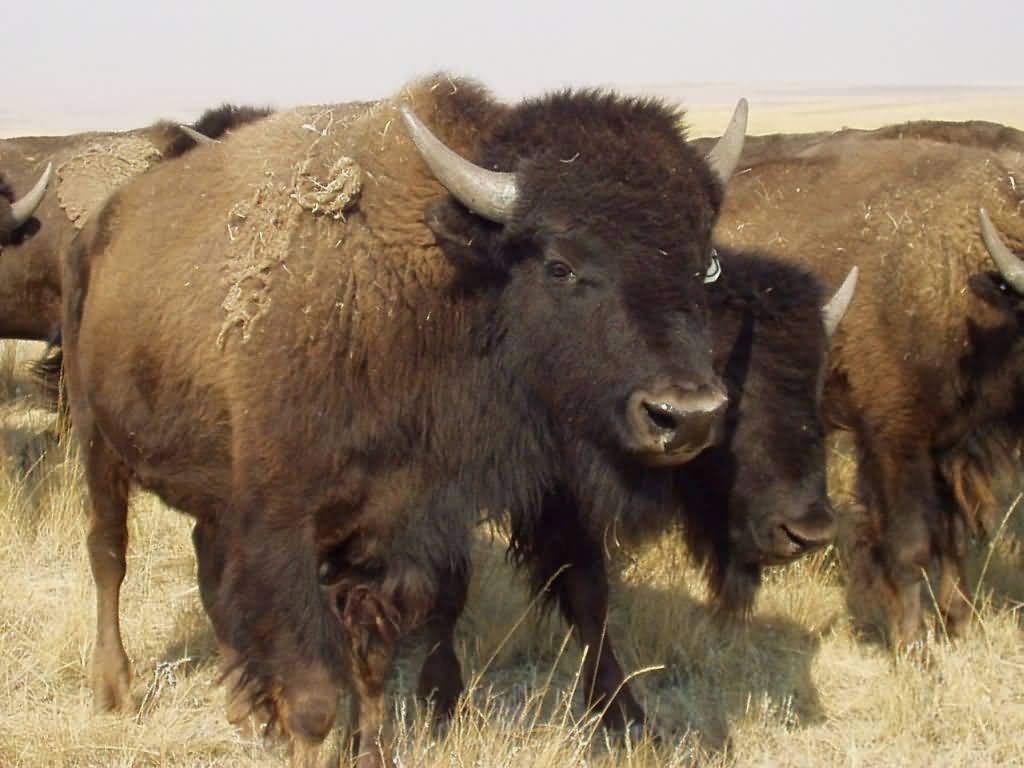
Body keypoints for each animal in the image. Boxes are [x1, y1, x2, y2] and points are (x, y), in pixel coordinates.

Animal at [61, 75, 746, 766]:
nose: (686, 415)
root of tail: (105, 226)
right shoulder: (282, 528)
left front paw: (372, 749)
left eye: (704, 265)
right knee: (109, 551)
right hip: (98, 438)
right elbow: (313, 692)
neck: (438, 286)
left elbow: (372, 657)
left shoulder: (393, 524)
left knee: (205, 563)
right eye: (560, 265)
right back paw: (114, 688)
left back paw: (244, 713)